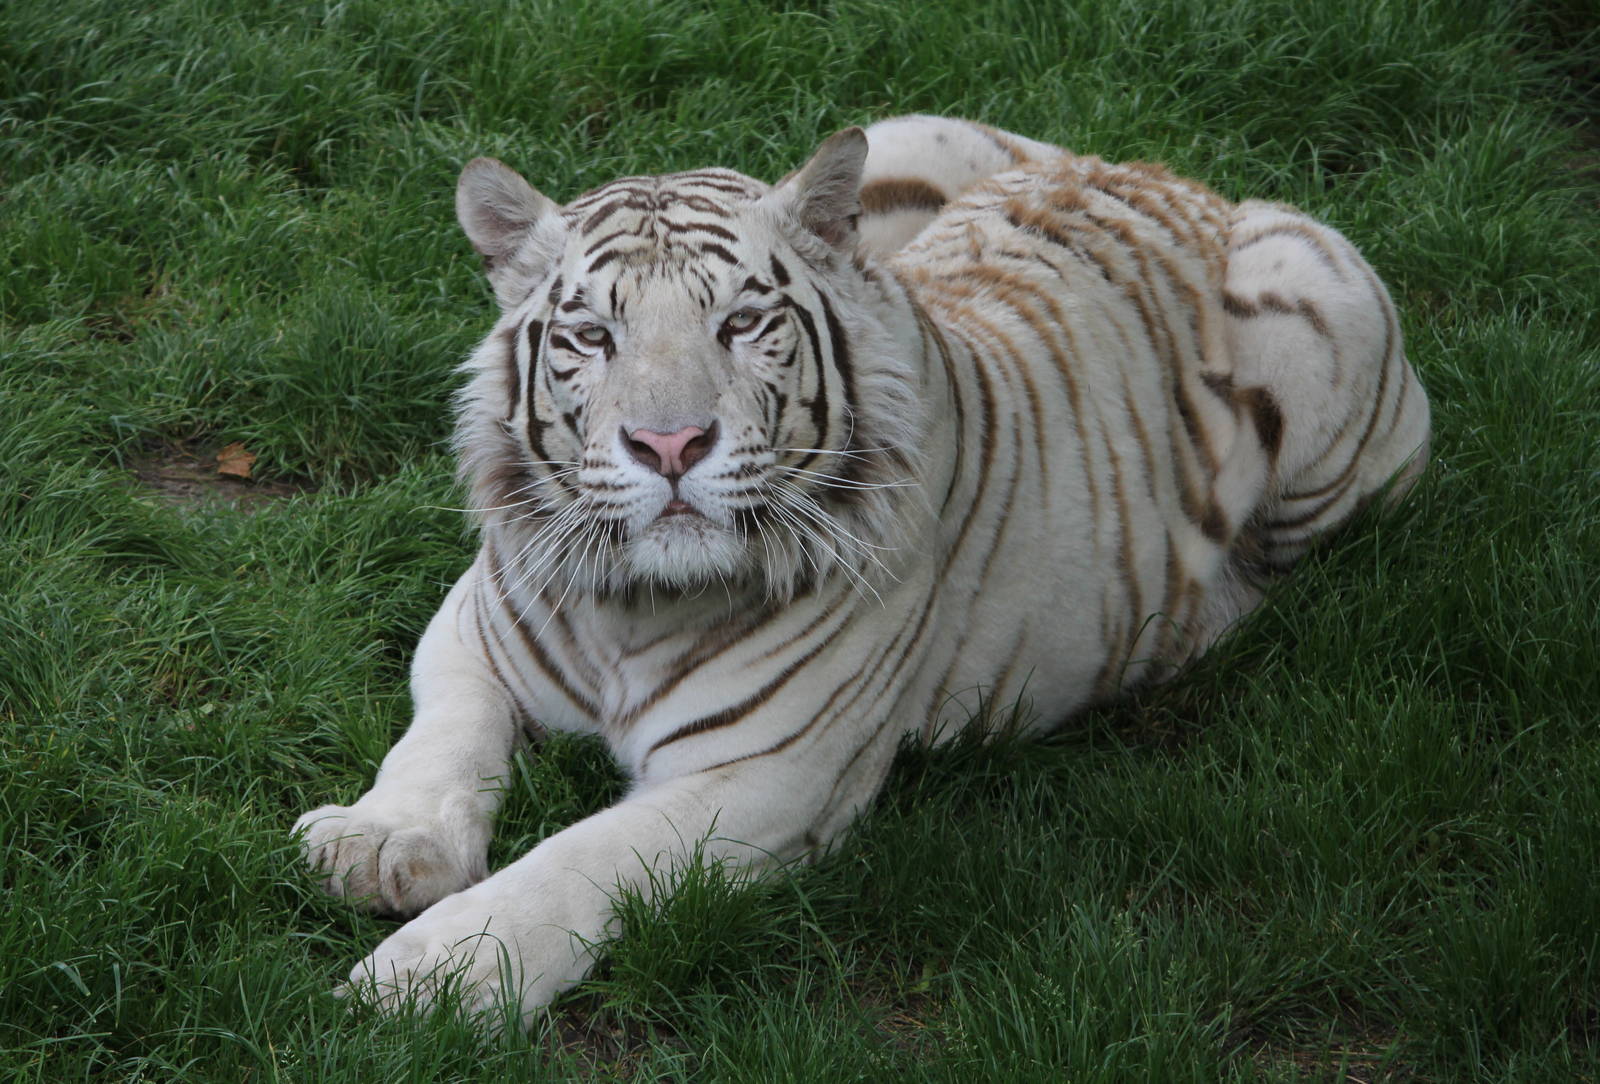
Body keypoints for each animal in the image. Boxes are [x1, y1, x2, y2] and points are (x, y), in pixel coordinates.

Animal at [293, 114, 1430, 1027]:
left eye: (741, 323)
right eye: (591, 335)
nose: (669, 444)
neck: (632, 605)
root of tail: (1160, 173)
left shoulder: (767, 771)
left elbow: (575, 861)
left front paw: (433, 975)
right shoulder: (473, 625)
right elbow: (441, 735)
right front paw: (382, 843)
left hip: (1319, 325)